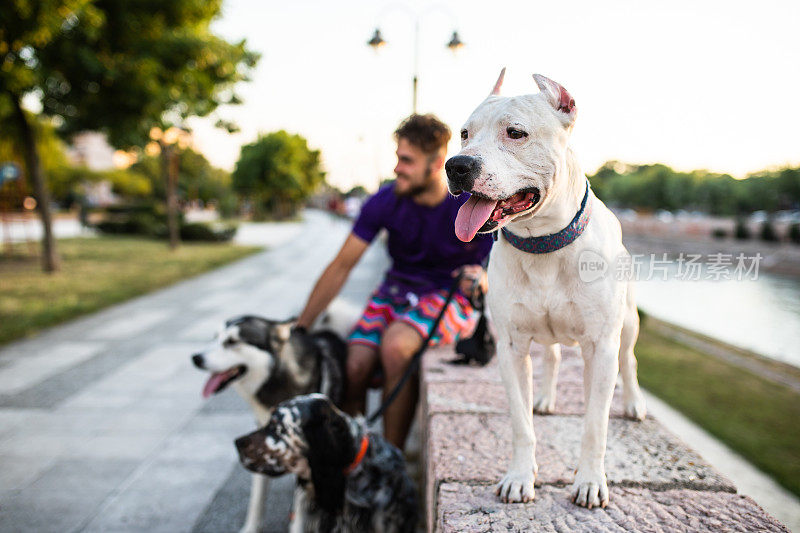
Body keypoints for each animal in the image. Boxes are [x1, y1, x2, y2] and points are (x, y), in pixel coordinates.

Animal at [193, 316, 346, 532]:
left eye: (232, 342)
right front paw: (250, 528)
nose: (195, 358)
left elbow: (298, 507)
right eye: (215, 337)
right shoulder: (260, 440)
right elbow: (256, 497)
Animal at [446, 69, 648, 508]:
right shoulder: (510, 348)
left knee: (628, 362)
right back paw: (545, 399)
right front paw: (520, 477)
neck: (543, 243)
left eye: (516, 133)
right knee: (553, 357)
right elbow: (521, 425)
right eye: (464, 133)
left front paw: (589, 481)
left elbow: (595, 426)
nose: (456, 165)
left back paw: (633, 403)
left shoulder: (600, 347)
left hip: (627, 324)